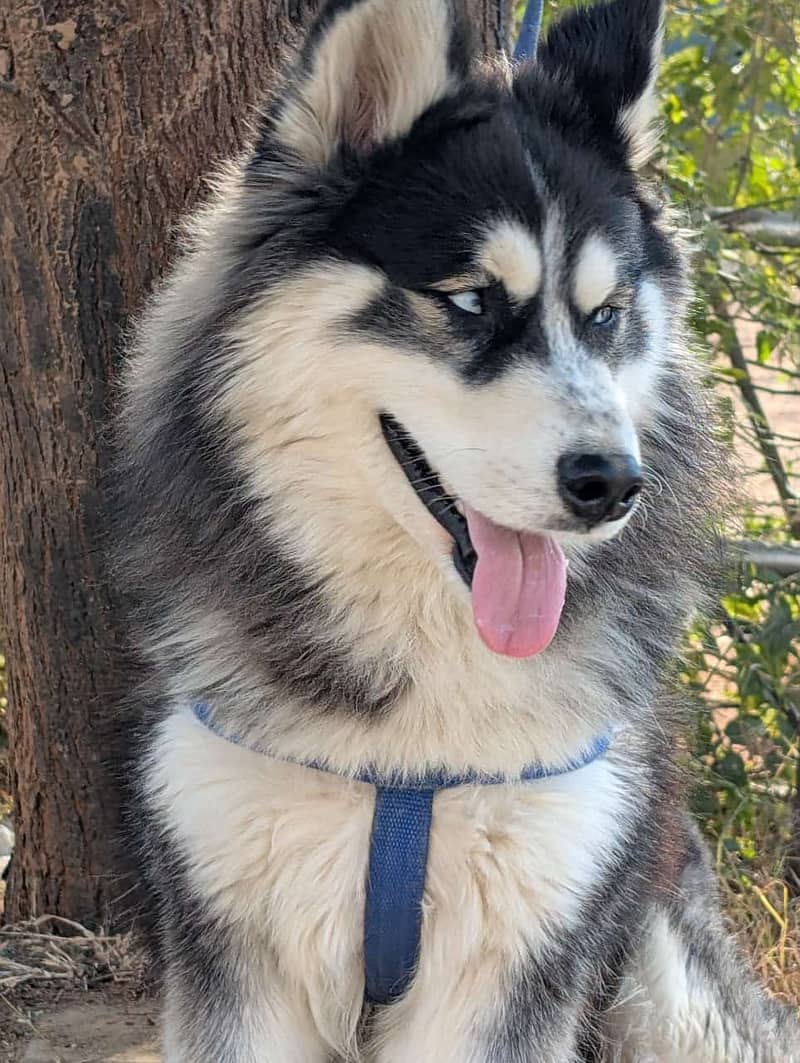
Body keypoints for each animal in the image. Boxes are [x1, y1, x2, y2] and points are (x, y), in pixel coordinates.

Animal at [116, 0, 798, 1058]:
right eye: (471, 299)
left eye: (607, 316)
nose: (613, 483)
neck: (414, 755)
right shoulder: (237, 953)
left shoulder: (509, 962)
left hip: (669, 989)